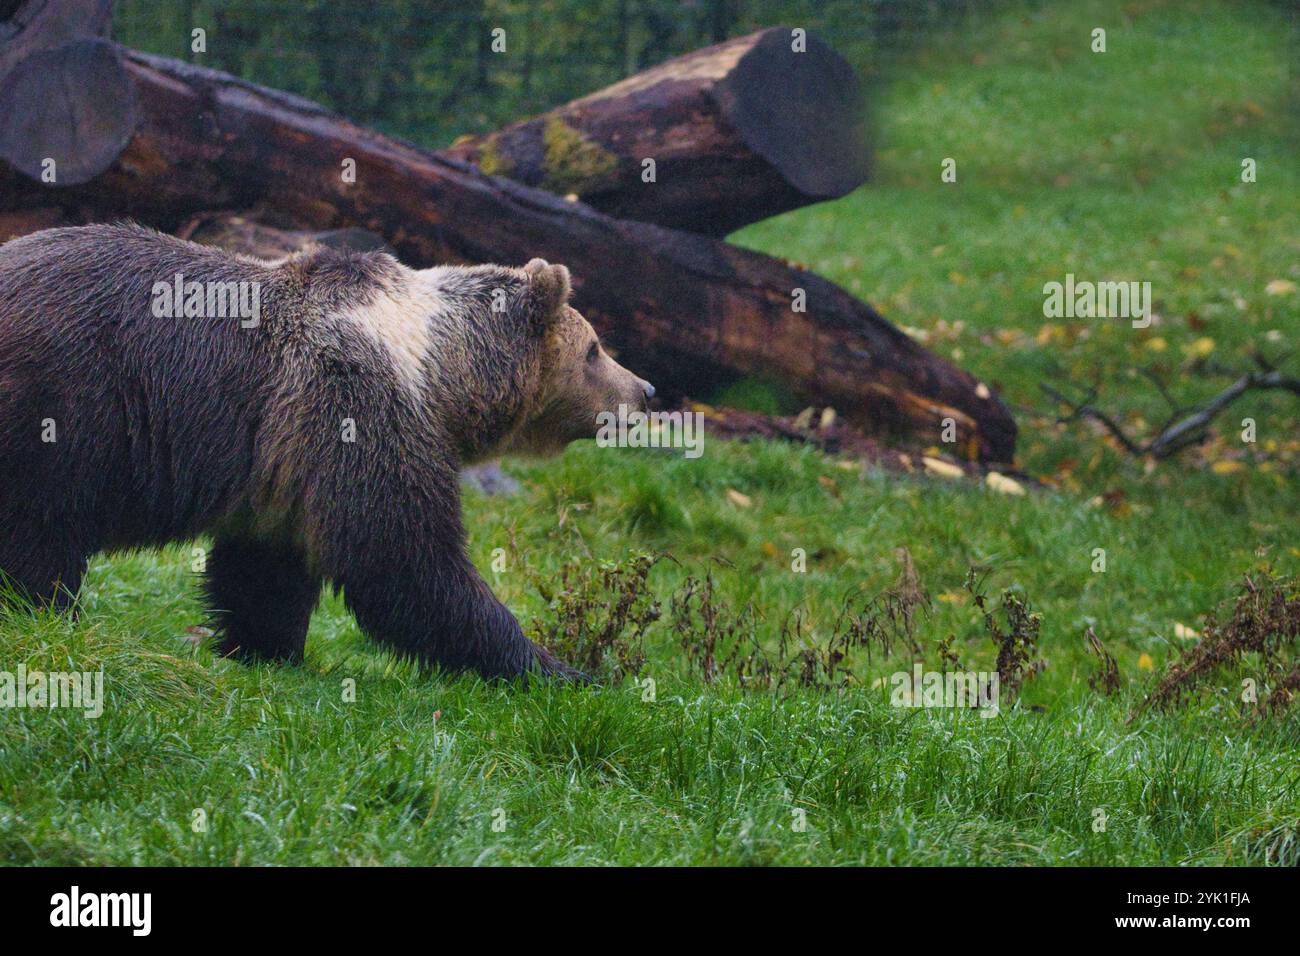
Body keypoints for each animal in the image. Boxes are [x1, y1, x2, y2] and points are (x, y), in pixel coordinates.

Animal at [0, 223, 650, 681]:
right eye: (594, 349)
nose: (643, 390)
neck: (437, 372)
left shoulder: (283, 455)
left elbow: (266, 568)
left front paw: (265, 648)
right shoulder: (351, 402)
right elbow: (402, 557)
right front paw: (561, 670)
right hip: (62, 401)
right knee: (41, 529)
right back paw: (47, 613)